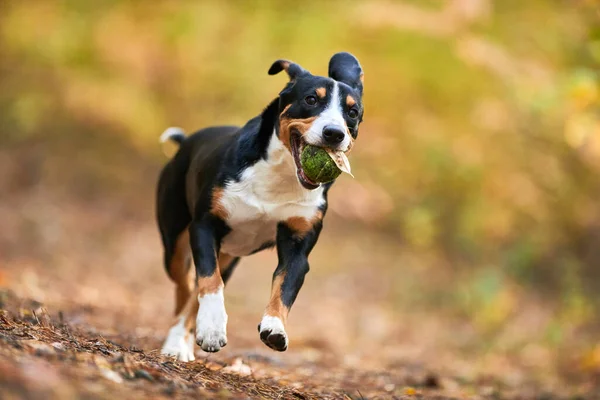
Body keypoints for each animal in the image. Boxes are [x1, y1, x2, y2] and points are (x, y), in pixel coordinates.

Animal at [157, 51, 364, 360]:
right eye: (311, 99)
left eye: (352, 112)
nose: (334, 133)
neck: (280, 175)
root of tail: (185, 143)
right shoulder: (204, 226)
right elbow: (208, 281)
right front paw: (212, 327)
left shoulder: (298, 245)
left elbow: (284, 288)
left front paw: (274, 327)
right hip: (175, 241)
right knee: (186, 285)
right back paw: (176, 342)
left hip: (229, 255)